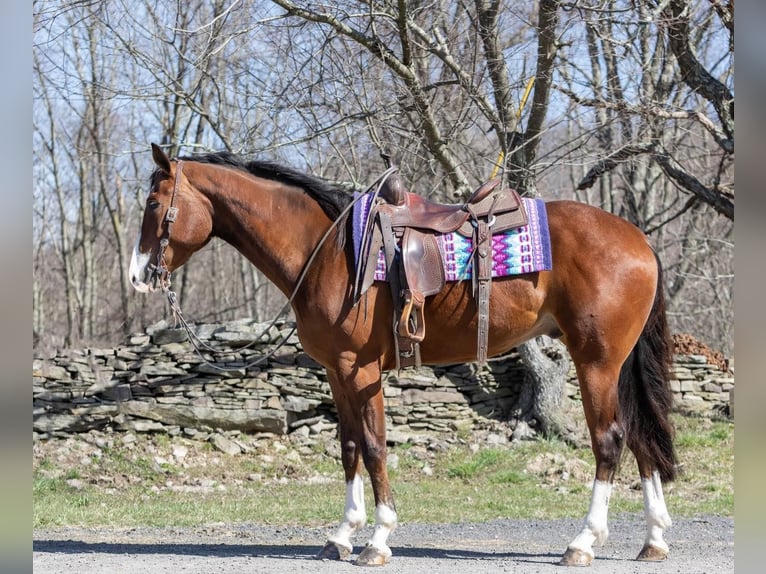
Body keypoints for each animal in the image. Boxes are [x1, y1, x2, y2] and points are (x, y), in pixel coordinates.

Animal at [129, 144, 676, 568]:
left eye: (154, 203)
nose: (137, 276)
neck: (327, 251)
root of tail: (640, 241)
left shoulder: (360, 370)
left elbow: (374, 448)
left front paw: (378, 539)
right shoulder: (336, 373)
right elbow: (349, 447)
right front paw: (341, 536)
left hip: (595, 363)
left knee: (609, 441)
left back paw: (582, 542)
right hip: (616, 365)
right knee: (641, 437)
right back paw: (653, 539)